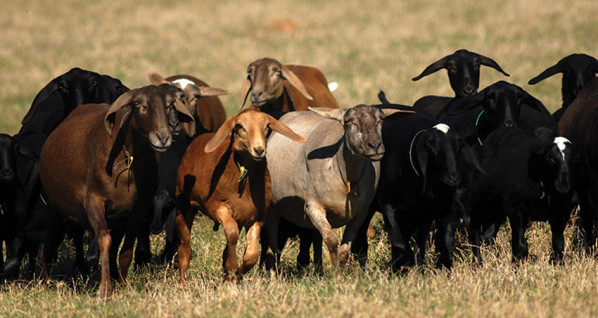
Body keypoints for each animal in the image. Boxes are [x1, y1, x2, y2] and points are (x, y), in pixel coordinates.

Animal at [39, 85, 195, 298]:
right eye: (140, 105)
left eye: (169, 105)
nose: (163, 138)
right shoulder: (93, 201)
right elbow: (104, 240)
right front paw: (104, 290)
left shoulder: (138, 209)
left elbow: (126, 249)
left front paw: (121, 285)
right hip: (53, 207)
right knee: (48, 245)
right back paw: (43, 283)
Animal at [173, 108, 304, 282]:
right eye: (240, 126)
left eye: (266, 126)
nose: (259, 150)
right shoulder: (218, 206)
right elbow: (232, 234)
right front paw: (233, 269)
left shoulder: (256, 216)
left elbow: (252, 254)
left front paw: (237, 274)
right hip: (184, 204)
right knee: (185, 247)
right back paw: (183, 283)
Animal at [472, 126, 580, 264]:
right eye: (549, 159)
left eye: (574, 160)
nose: (564, 184)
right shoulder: (514, 209)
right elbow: (520, 245)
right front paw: (518, 265)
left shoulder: (561, 213)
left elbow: (558, 244)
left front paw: (558, 264)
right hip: (483, 201)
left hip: (497, 207)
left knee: (488, 234)